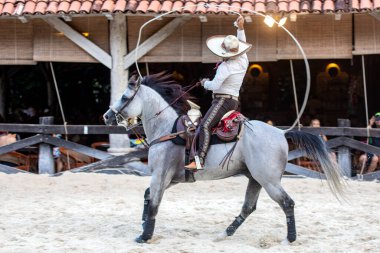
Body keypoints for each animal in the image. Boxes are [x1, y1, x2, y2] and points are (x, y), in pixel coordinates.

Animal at [103, 72, 344, 245]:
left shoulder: (160, 176)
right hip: (255, 179)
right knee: (248, 207)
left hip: (269, 181)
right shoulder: (171, 178)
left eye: (124, 97)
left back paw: (289, 239)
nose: (106, 116)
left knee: (287, 203)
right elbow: (147, 197)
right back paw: (224, 234)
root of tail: (281, 133)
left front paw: (145, 236)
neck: (168, 129)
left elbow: (153, 203)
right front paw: (143, 227)